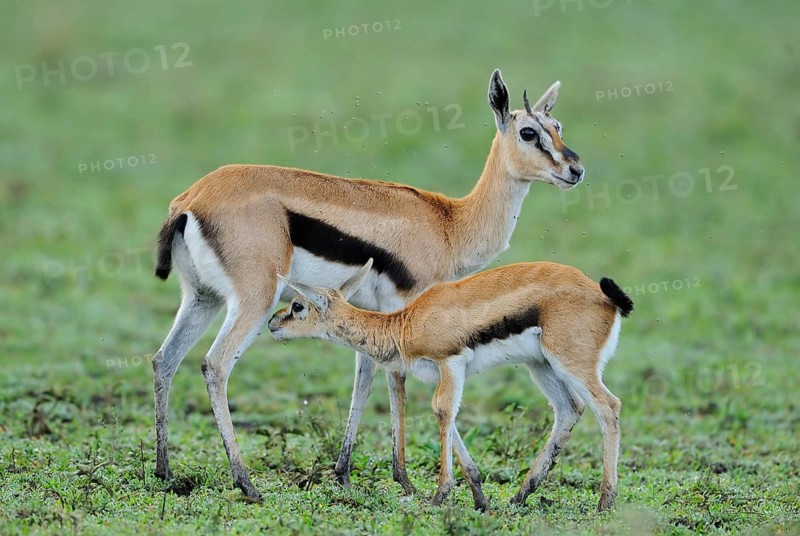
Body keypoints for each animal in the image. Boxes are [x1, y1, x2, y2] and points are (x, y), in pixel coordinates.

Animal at [151, 69, 585, 502]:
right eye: (529, 133)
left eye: (559, 127)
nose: (575, 170)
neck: (449, 223)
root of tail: (191, 200)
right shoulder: (403, 308)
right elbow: (398, 381)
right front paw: (409, 479)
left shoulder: (371, 313)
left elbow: (364, 379)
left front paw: (343, 474)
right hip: (255, 301)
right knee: (215, 364)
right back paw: (245, 482)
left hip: (202, 298)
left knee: (164, 360)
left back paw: (164, 473)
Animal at [268, 259, 633, 511]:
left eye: (297, 305)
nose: (272, 323)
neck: (405, 324)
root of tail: (604, 296)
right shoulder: (447, 373)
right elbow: (452, 421)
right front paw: (480, 499)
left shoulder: (450, 363)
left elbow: (442, 412)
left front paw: (439, 496)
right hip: (541, 366)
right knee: (569, 410)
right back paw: (520, 496)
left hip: (572, 365)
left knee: (609, 407)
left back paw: (605, 502)